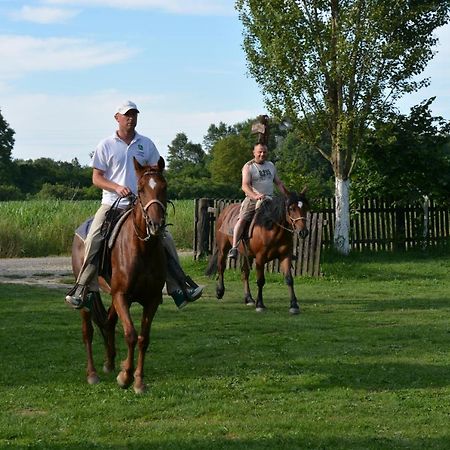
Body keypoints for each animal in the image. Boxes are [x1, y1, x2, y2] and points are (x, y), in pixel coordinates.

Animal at [72, 157, 167, 394]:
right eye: (140, 189)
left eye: (164, 187)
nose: (156, 224)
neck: (143, 249)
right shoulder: (122, 295)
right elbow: (131, 335)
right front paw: (125, 377)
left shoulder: (151, 300)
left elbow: (143, 338)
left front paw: (138, 380)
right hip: (88, 296)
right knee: (88, 331)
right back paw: (93, 374)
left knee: (108, 322)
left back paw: (110, 362)